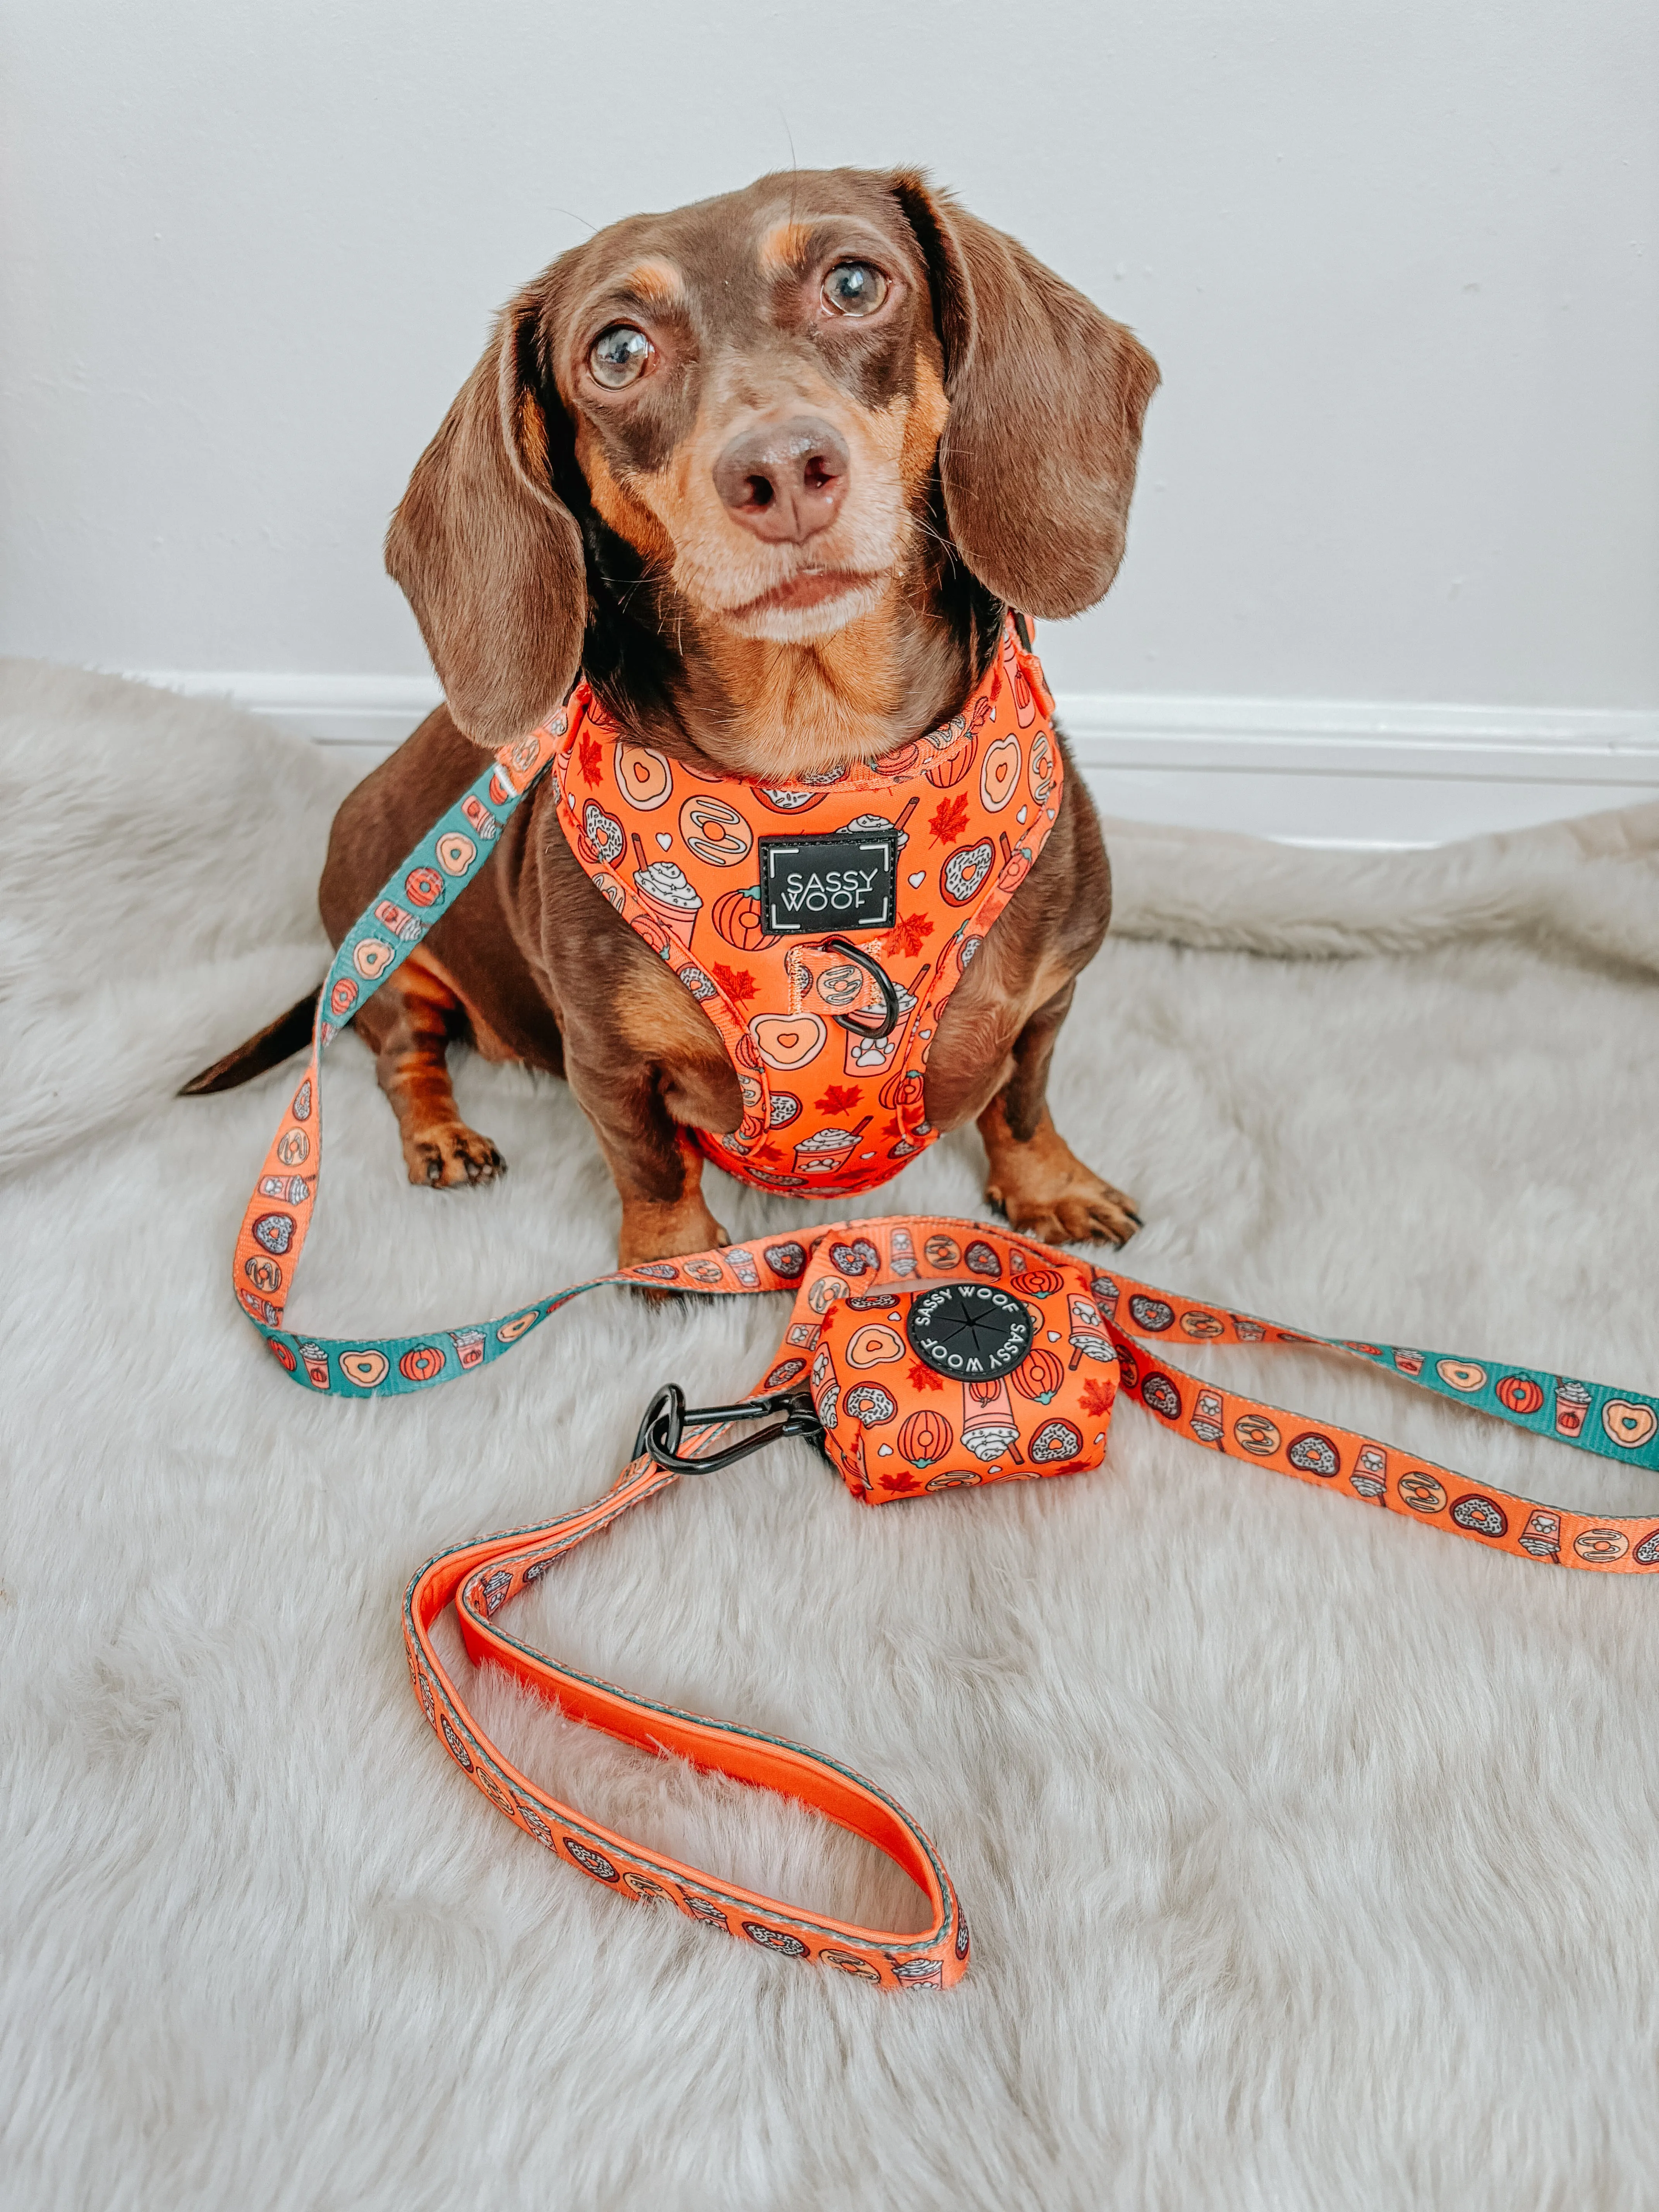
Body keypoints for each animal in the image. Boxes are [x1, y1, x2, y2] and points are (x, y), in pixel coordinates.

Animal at [188, 166, 1159, 1274]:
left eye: (855, 283)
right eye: (617, 351)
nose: (781, 471)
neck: (816, 767)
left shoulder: (1050, 1000)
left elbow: (1023, 1102)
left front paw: (1050, 1188)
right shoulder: (607, 1061)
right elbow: (648, 1161)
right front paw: (676, 1265)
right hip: (395, 961)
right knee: (403, 1056)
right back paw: (442, 1135)